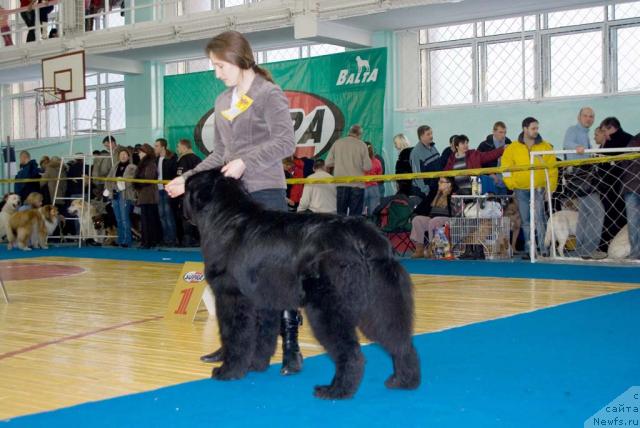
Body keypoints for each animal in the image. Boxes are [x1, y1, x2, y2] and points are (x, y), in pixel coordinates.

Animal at [185, 169, 420, 400]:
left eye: (187, 186)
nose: (182, 202)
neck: (226, 218)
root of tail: (363, 233)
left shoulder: (231, 297)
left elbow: (235, 336)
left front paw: (229, 371)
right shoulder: (264, 300)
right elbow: (263, 336)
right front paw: (255, 365)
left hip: (327, 308)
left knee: (351, 351)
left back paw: (336, 390)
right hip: (380, 303)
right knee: (399, 341)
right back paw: (403, 380)